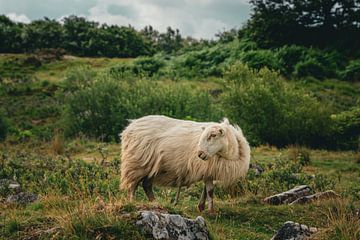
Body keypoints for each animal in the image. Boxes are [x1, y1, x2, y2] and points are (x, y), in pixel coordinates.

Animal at [120, 115, 250, 213]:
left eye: (213, 135)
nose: (200, 154)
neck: (230, 155)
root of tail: (130, 126)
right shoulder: (207, 168)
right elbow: (210, 191)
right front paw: (211, 211)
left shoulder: (209, 170)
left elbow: (205, 190)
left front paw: (201, 207)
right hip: (136, 163)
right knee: (133, 185)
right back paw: (132, 202)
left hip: (153, 167)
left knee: (146, 185)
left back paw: (155, 203)